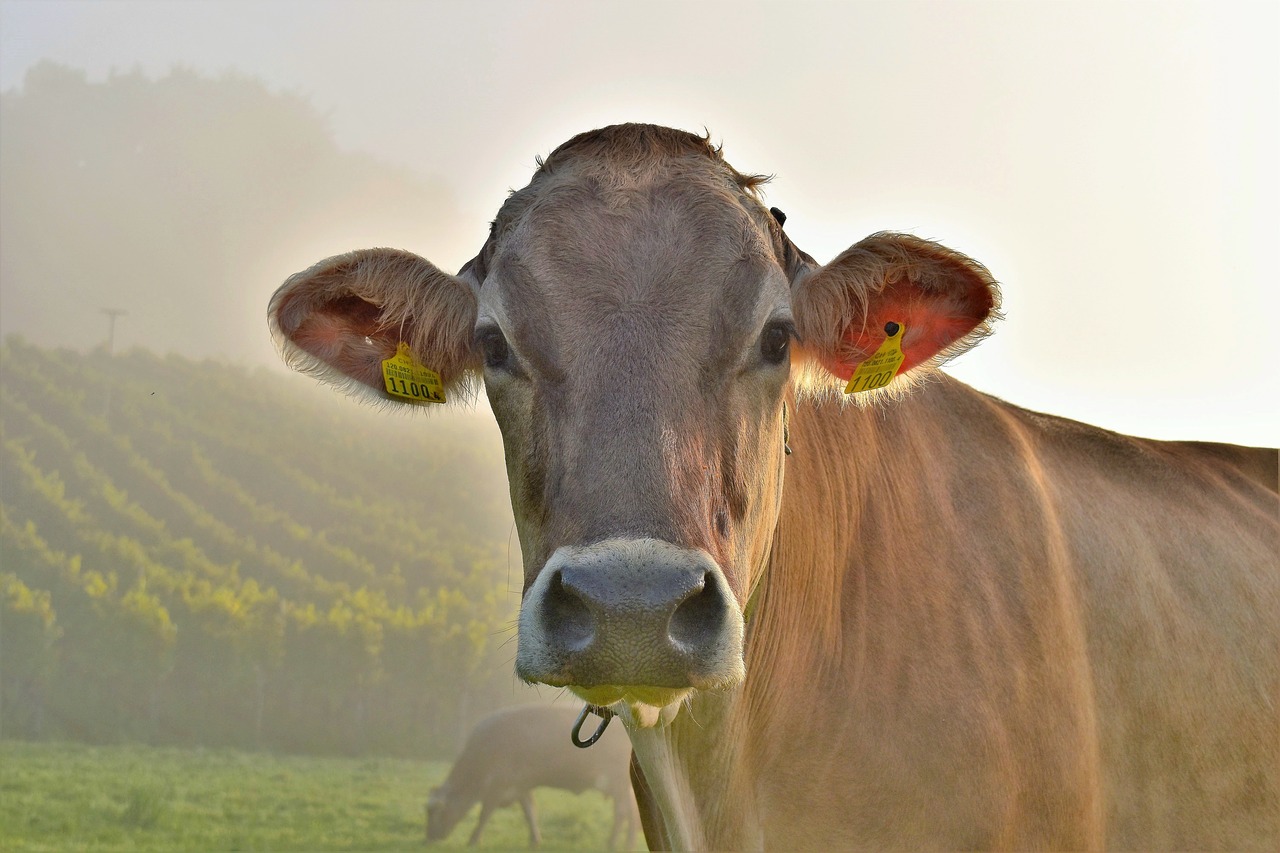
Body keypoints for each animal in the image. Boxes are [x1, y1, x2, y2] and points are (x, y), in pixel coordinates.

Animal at [424, 701, 634, 845]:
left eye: (436, 812)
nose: (429, 838)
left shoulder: (497, 787)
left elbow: (484, 814)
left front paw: (473, 840)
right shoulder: (521, 786)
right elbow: (530, 813)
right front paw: (535, 840)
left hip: (619, 782)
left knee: (624, 813)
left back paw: (616, 844)